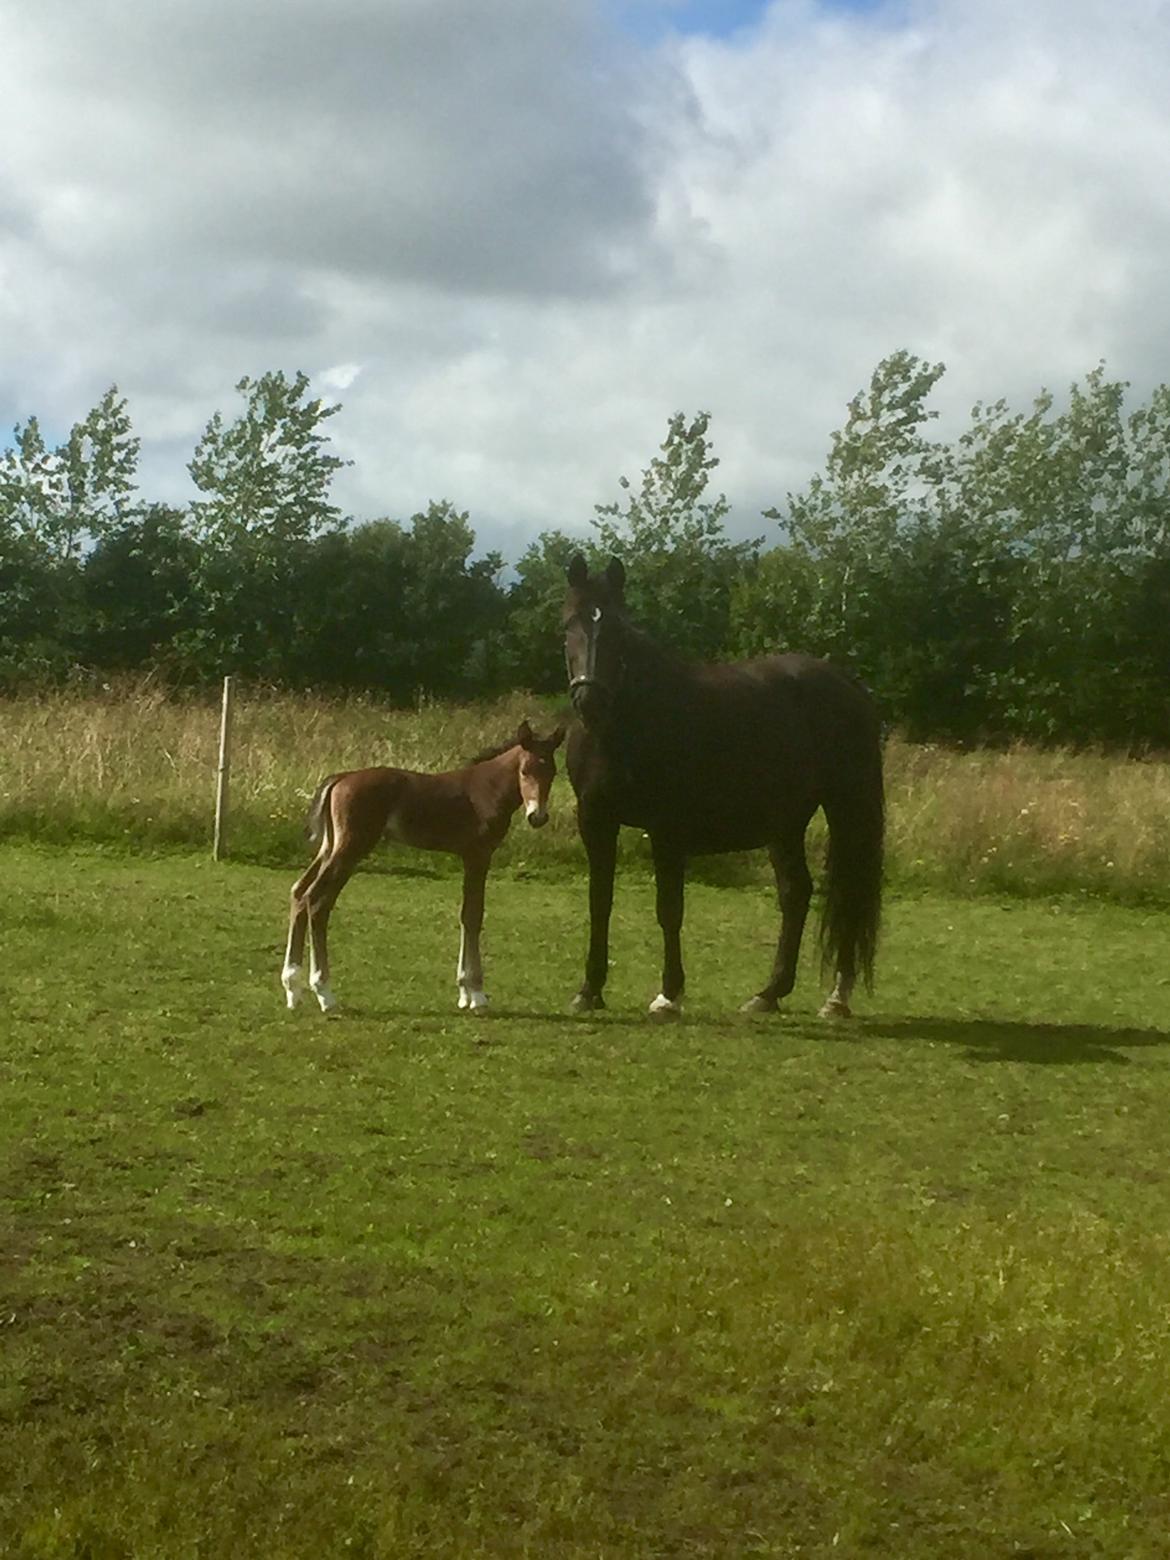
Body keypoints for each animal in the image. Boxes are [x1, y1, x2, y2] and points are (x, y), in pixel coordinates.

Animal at [279, 717, 564, 1010]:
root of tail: (341, 778)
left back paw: (292, 988)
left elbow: (466, 914)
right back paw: (324, 992)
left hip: (330, 846)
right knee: (317, 900)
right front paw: (476, 994)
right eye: (525, 771)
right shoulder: (479, 854)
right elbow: (474, 915)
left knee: (299, 892)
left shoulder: (468, 857)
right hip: (351, 848)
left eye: (553, 772)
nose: (537, 817)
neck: (487, 787)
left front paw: (464, 992)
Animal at [564, 561, 886, 1023]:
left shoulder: (667, 829)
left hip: (847, 809)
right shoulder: (595, 821)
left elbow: (669, 910)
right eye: (568, 625)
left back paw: (836, 998)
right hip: (785, 823)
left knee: (849, 895)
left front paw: (668, 995)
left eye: (618, 631)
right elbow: (599, 902)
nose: (589, 701)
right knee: (796, 893)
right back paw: (769, 993)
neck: (623, 725)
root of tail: (850, 686)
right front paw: (590, 990)